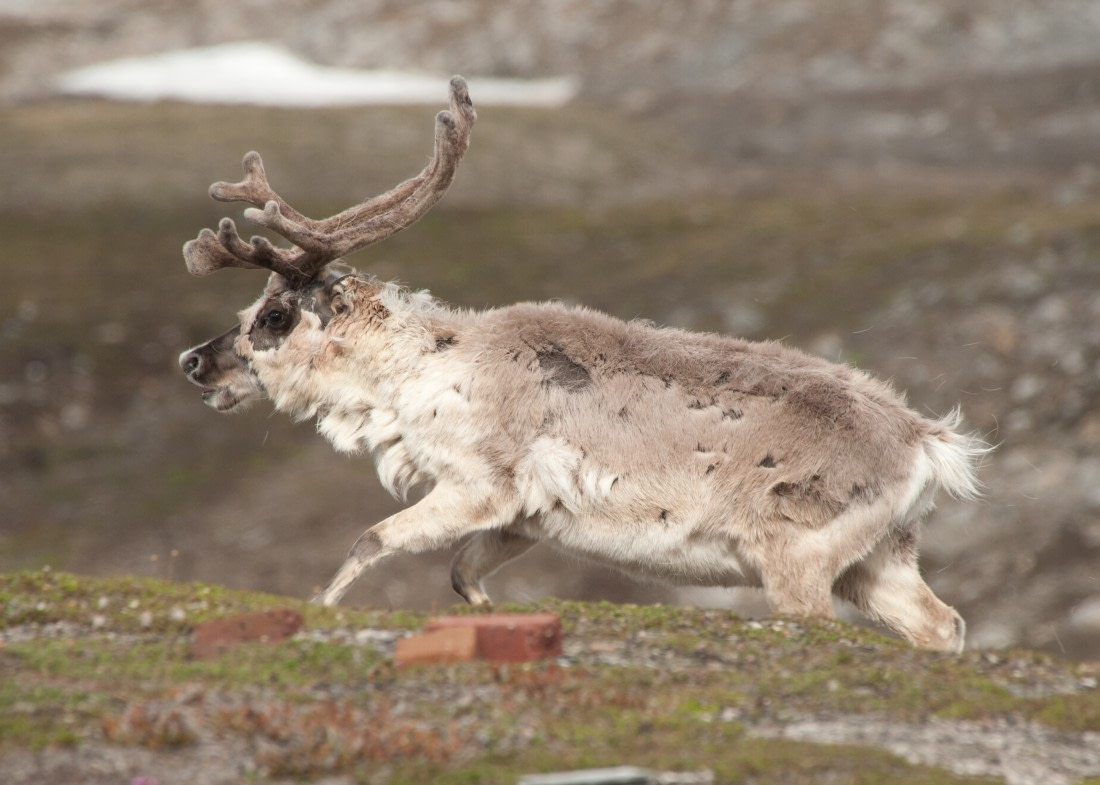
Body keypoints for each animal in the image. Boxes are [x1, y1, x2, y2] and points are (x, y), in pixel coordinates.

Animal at [179, 76, 988, 652]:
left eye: (271, 317)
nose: (193, 361)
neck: (419, 372)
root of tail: (929, 442)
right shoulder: (525, 520)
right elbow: (460, 574)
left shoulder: (479, 485)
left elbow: (369, 540)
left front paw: (317, 609)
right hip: (880, 559)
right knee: (943, 624)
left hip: (799, 559)